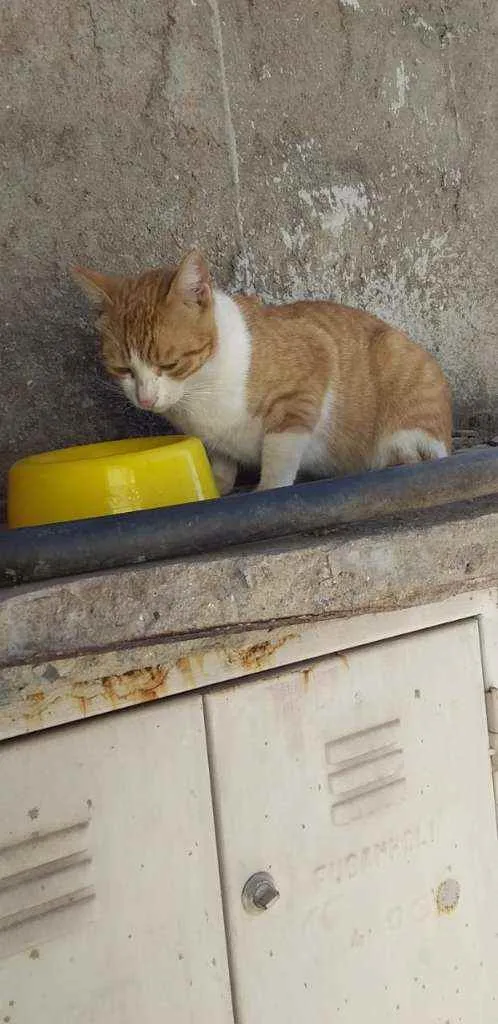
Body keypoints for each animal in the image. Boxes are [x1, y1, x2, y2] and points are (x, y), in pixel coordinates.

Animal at [72, 253, 450, 497]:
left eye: (170, 364)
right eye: (122, 369)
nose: (146, 399)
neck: (202, 390)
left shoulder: (310, 365)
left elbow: (280, 451)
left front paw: (267, 487)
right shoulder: (214, 440)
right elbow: (221, 463)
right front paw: (218, 486)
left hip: (399, 368)